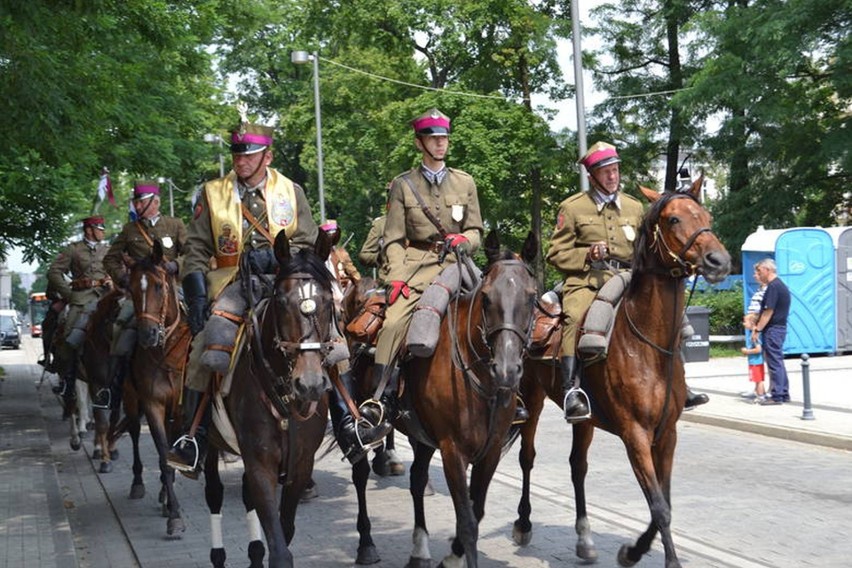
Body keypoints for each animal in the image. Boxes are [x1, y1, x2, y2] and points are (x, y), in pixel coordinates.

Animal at [205, 231, 334, 568]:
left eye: (329, 301)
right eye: (282, 302)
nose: (310, 384)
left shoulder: (300, 466)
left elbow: (284, 530)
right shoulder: (260, 463)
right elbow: (279, 550)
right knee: (213, 493)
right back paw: (218, 555)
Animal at [398, 231, 536, 568]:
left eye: (531, 297)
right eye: (486, 298)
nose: (507, 370)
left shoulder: (491, 450)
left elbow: (478, 510)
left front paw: (452, 554)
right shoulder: (452, 451)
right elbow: (468, 522)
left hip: (422, 436)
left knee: (417, 479)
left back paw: (419, 549)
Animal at [512, 179, 732, 568]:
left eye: (706, 216)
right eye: (674, 219)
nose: (719, 261)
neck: (650, 347)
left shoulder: (667, 434)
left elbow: (664, 503)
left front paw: (635, 551)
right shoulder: (635, 435)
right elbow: (660, 507)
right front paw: (650, 556)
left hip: (585, 420)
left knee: (578, 466)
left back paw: (584, 539)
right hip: (532, 399)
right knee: (528, 458)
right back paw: (523, 523)